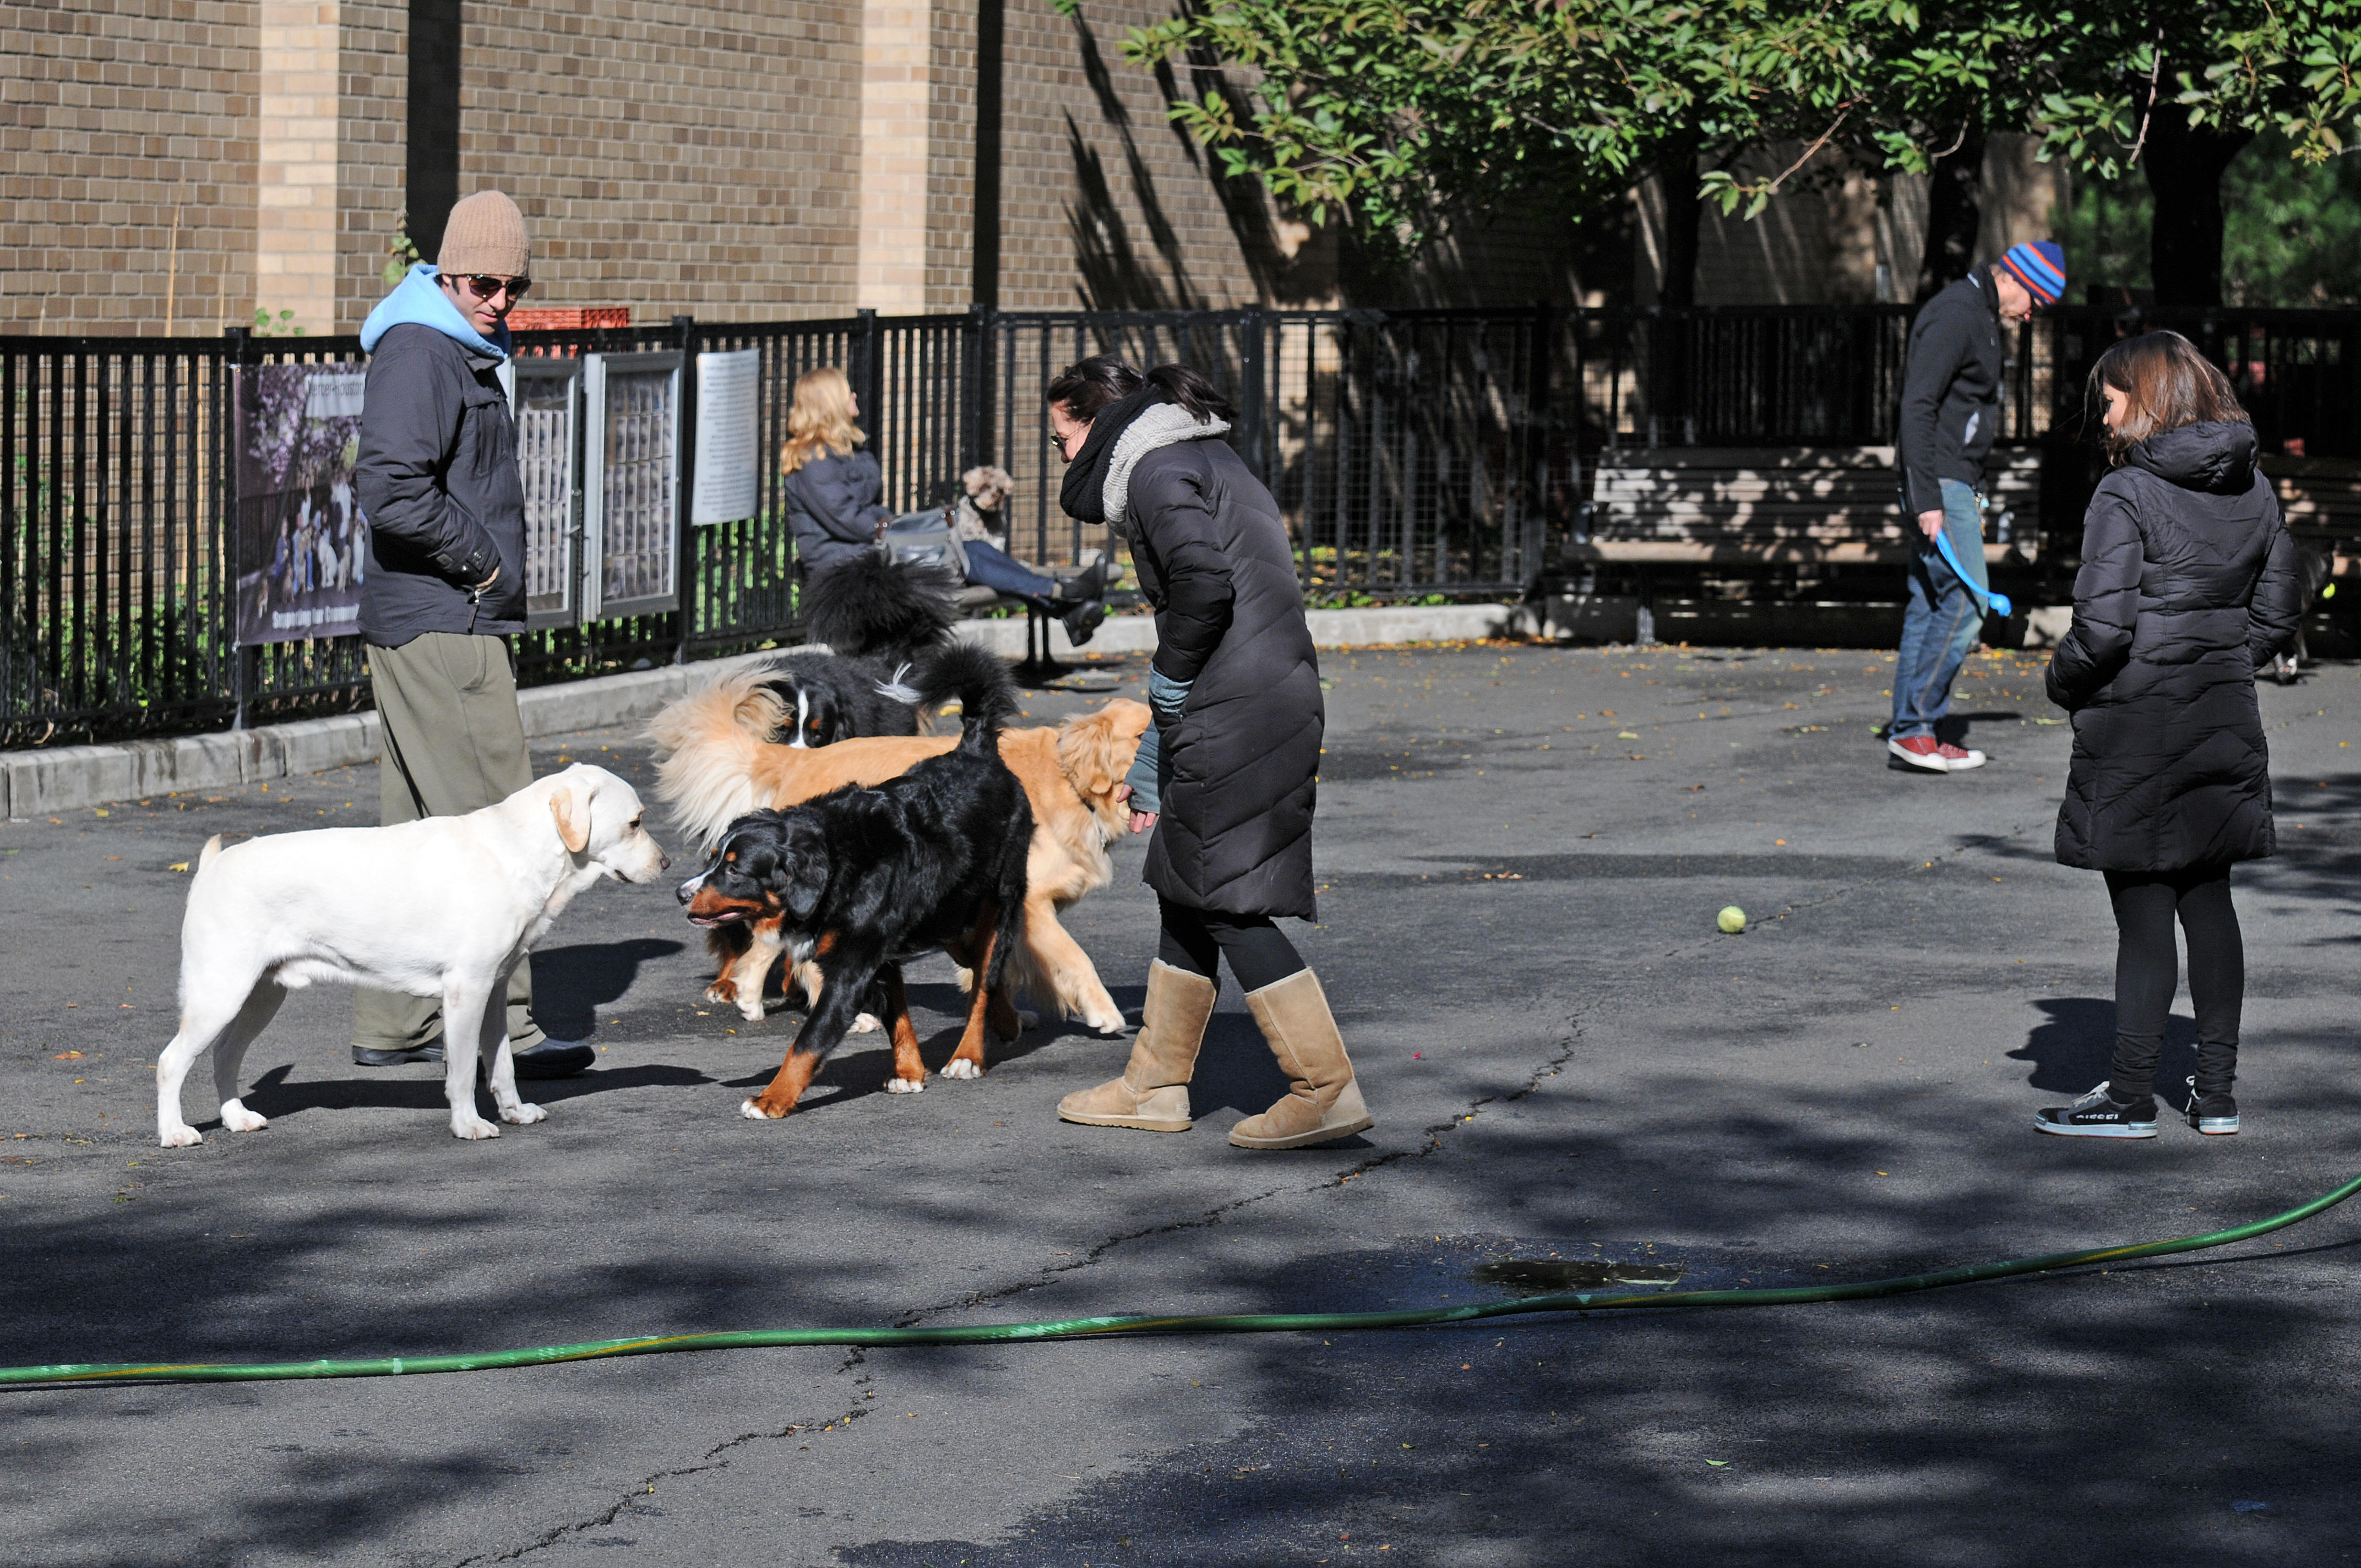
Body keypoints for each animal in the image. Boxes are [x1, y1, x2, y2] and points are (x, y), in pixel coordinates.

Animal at [154, 765, 675, 1147]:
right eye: (635, 823)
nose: (668, 864)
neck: (517, 852)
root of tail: (214, 865)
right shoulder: (466, 988)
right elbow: (463, 1071)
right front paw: (468, 1125)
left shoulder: (494, 989)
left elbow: (503, 1064)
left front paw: (515, 1112)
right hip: (221, 993)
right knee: (170, 1062)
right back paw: (175, 1132)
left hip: (261, 996)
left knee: (224, 1055)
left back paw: (237, 1118)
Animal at [651, 666, 1147, 1034]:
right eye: (1143, 737)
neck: (1070, 779)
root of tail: (803, 755)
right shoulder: (1031, 900)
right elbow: (1075, 957)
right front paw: (1104, 1012)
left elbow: (996, 964)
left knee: (769, 945)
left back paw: (751, 996)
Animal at [675, 694, 1024, 1114]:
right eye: (713, 859)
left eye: (734, 870)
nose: (681, 893)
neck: (838, 870)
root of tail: (974, 750)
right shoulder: (880, 958)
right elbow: (898, 1018)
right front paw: (909, 1073)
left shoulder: (850, 970)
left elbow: (807, 1043)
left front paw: (772, 1098)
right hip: (948, 921)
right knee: (978, 969)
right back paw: (1007, 1024)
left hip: (994, 909)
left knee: (984, 982)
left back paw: (968, 1057)